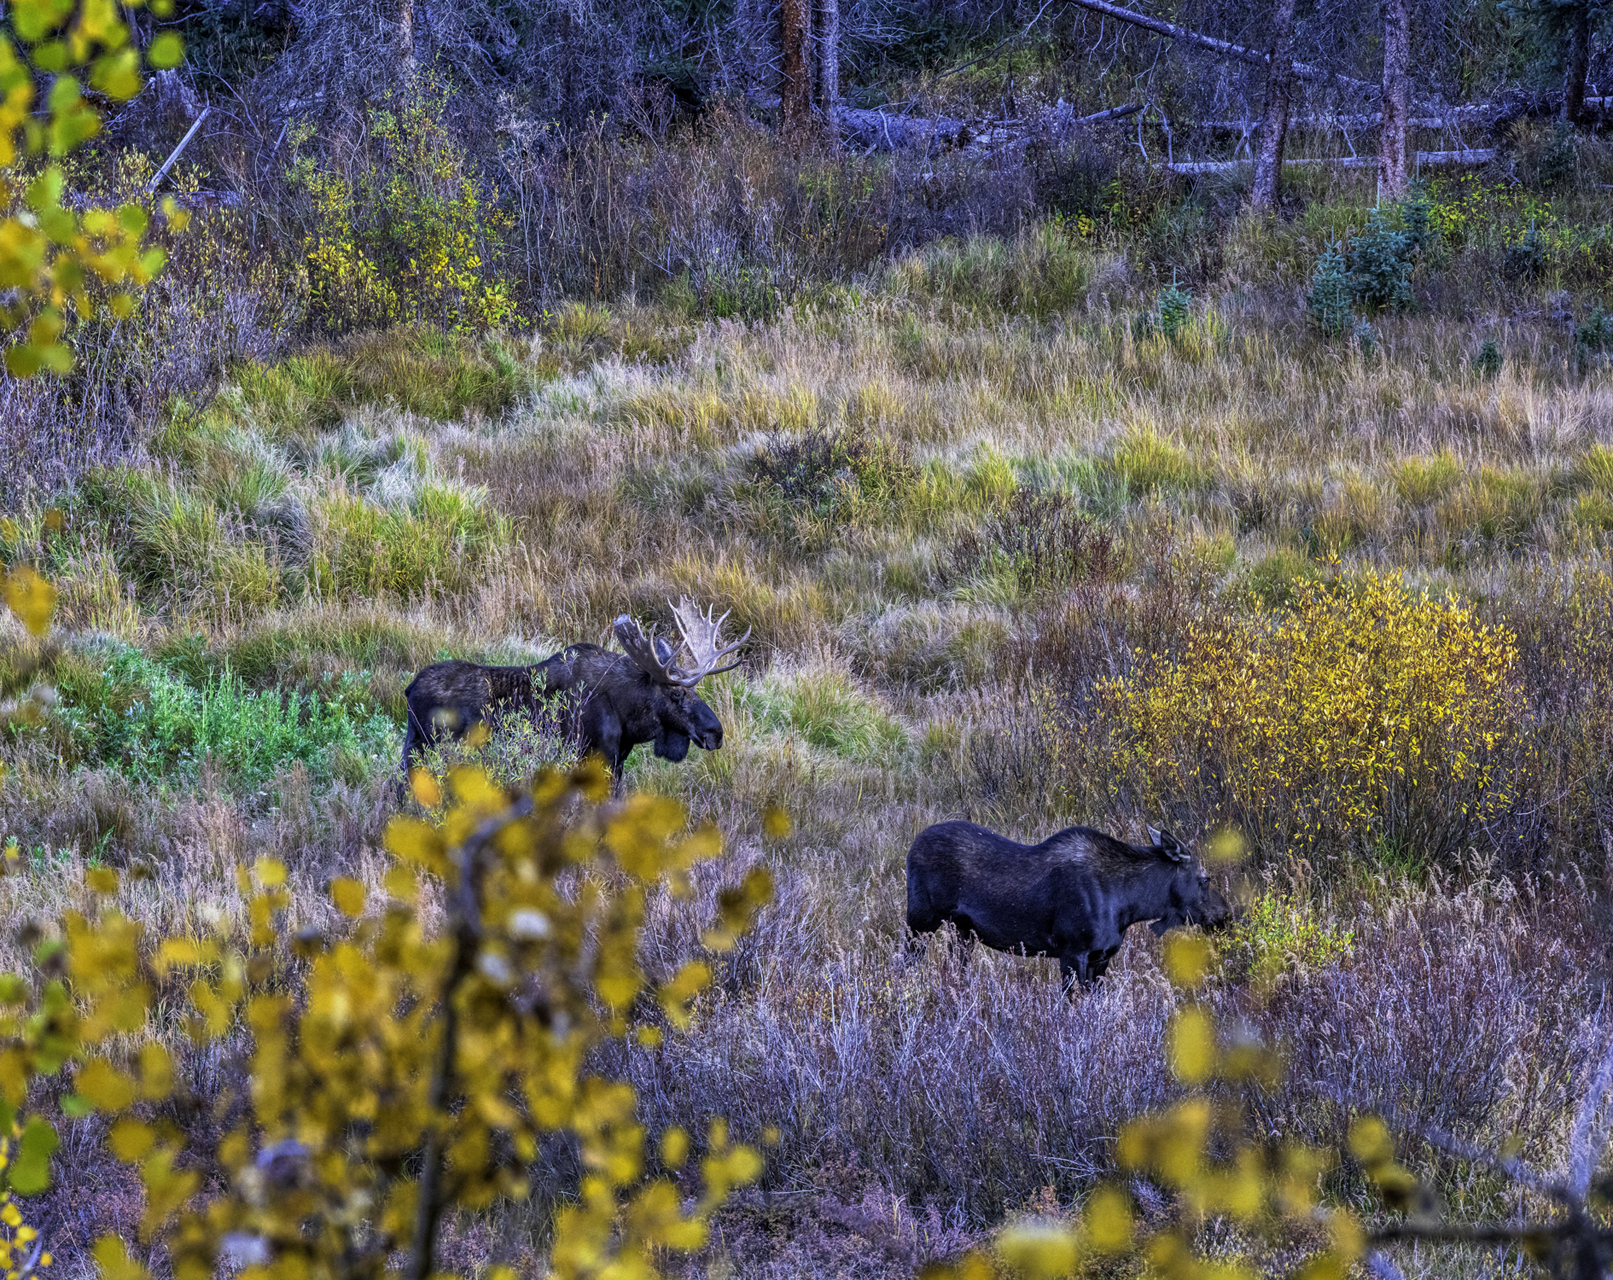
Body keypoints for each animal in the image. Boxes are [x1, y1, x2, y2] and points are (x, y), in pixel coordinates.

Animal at [396, 599, 748, 786]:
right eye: (676, 695)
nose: (715, 732)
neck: (629, 715)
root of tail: (409, 689)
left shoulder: (617, 760)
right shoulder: (597, 756)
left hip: (413, 745)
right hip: (431, 747)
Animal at [909, 818, 1232, 986]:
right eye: (1205, 879)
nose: (1226, 914)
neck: (1129, 905)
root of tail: (912, 846)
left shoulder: (1101, 958)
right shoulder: (1071, 952)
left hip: (962, 930)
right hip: (920, 921)